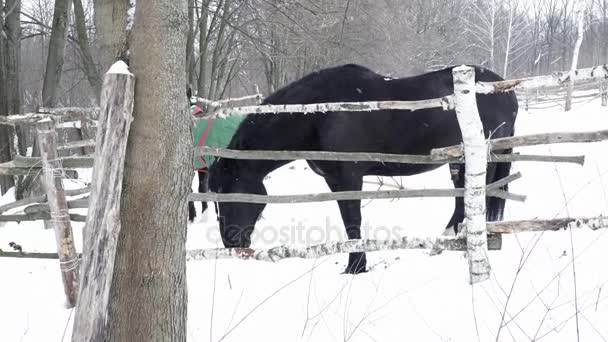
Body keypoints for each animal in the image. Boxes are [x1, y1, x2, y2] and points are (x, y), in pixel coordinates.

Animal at [208, 62, 516, 274]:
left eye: (230, 192)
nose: (231, 242)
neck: (321, 112)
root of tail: (505, 91)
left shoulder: (348, 179)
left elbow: (352, 222)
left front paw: (356, 267)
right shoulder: (337, 182)